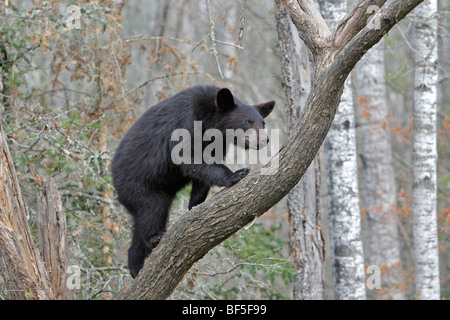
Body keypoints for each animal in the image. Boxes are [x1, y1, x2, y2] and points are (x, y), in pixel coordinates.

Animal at [112, 85, 274, 278]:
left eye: (263, 123)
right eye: (248, 121)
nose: (264, 140)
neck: (209, 120)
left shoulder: (217, 142)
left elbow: (203, 173)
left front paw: (195, 205)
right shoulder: (185, 123)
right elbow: (190, 157)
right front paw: (236, 174)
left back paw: (136, 266)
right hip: (138, 184)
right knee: (153, 207)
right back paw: (154, 238)